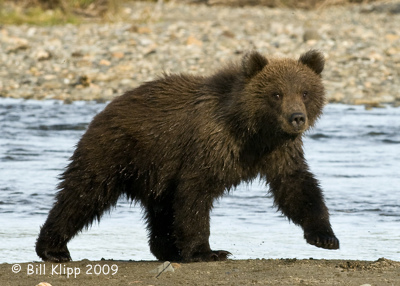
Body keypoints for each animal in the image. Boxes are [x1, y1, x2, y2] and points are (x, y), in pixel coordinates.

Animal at [36, 48, 340, 262]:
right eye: (276, 94)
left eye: (305, 91)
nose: (296, 118)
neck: (251, 132)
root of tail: (108, 106)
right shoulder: (210, 145)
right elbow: (195, 194)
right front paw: (208, 252)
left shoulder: (279, 152)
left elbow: (297, 187)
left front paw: (325, 237)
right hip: (118, 150)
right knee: (83, 194)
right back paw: (53, 248)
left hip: (156, 171)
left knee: (159, 210)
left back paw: (167, 249)